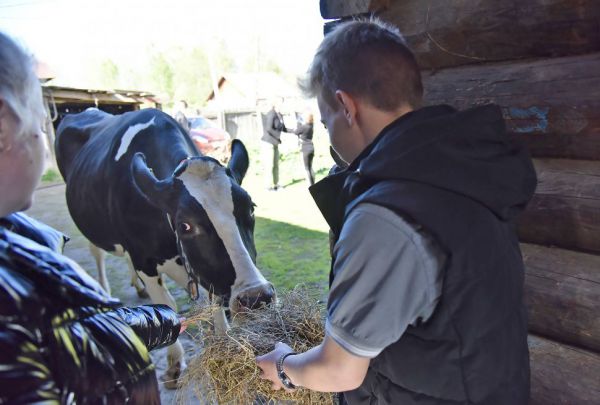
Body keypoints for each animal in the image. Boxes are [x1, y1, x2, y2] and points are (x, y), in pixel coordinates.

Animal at [55, 107, 276, 386]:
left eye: (251, 208)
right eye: (185, 226)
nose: (257, 296)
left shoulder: (206, 270)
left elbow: (214, 305)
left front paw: (224, 343)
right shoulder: (144, 260)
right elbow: (167, 306)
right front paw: (174, 364)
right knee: (96, 252)